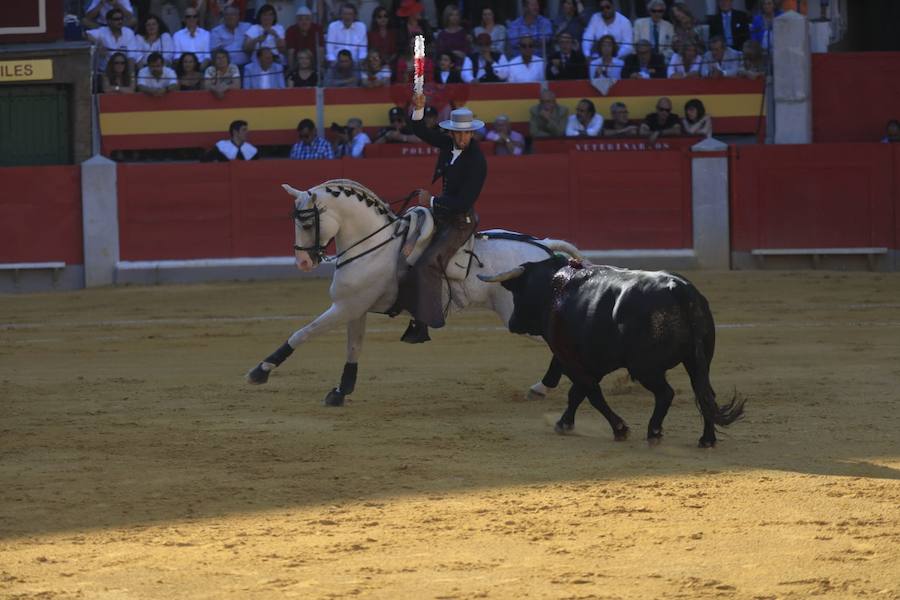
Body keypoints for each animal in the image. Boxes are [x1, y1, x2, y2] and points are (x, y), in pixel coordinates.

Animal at [246, 176, 584, 406]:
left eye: (306, 222)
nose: (303, 262)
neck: (373, 244)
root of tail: (544, 247)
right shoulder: (355, 308)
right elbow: (353, 347)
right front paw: (341, 391)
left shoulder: (345, 307)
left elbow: (303, 332)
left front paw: (260, 371)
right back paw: (544, 388)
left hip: (520, 318)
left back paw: (546, 387)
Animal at [478, 255, 744, 448]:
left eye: (518, 292)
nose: (512, 323)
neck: (554, 288)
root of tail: (680, 289)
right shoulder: (594, 362)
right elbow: (578, 393)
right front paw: (564, 423)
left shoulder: (569, 357)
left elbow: (591, 393)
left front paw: (619, 429)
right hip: (698, 361)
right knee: (705, 392)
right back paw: (707, 439)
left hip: (644, 367)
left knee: (666, 393)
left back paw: (654, 432)